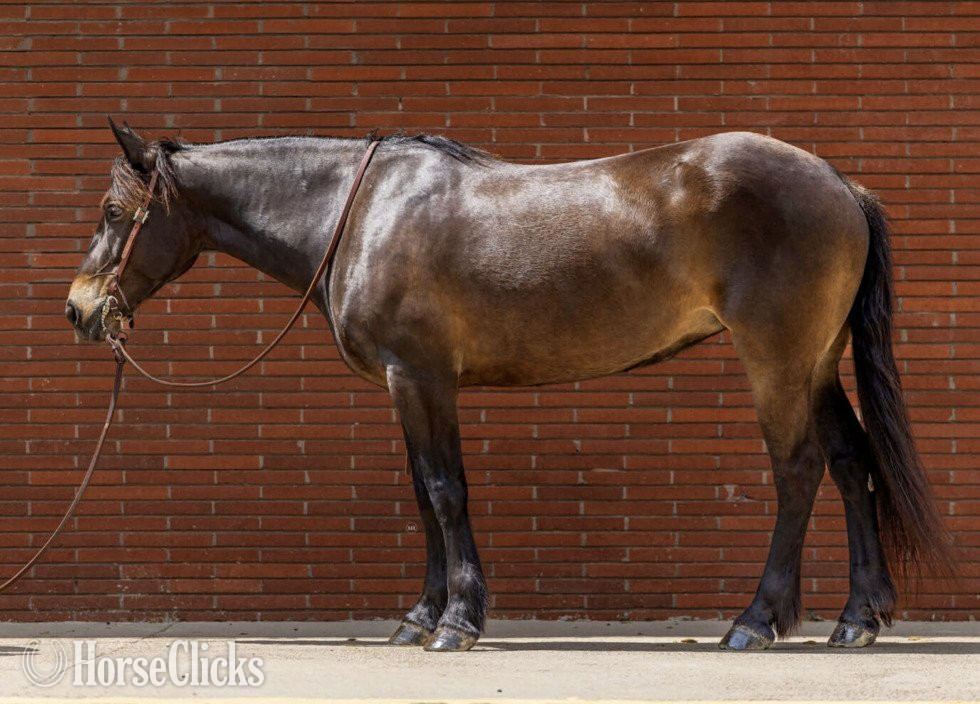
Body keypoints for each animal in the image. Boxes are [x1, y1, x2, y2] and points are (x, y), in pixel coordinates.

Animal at [66, 120, 953, 652]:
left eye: (113, 211)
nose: (79, 309)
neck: (362, 214)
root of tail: (838, 182)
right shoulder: (408, 387)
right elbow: (423, 495)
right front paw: (419, 617)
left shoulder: (421, 377)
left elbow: (444, 490)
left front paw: (457, 622)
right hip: (817, 359)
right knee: (852, 463)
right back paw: (858, 619)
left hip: (777, 358)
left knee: (799, 471)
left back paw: (756, 620)